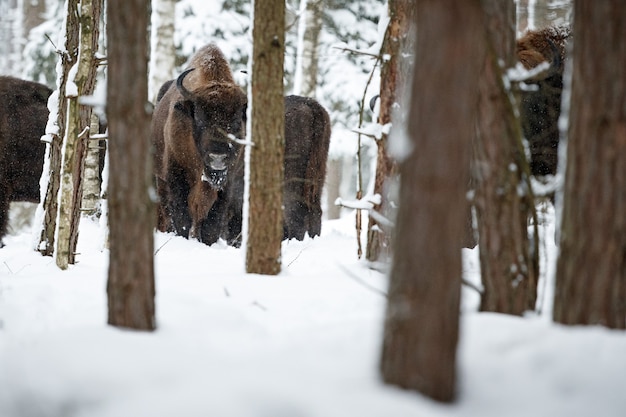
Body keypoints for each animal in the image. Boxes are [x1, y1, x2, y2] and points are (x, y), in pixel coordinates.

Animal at [151, 43, 246, 244]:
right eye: (200, 119)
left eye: (236, 121)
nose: (217, 158)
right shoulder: (176, 175)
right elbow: (182, 217)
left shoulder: (227, 183)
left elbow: (212, 224)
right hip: (161, 179)